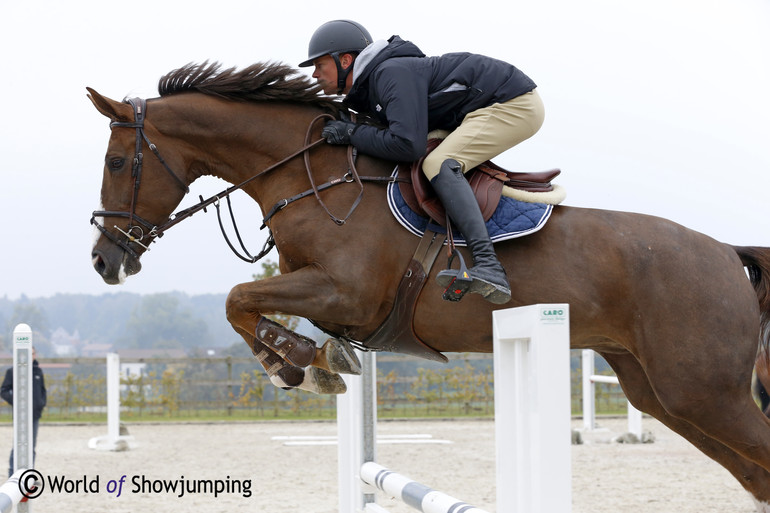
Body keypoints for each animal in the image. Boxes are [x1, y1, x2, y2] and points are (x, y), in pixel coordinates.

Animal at [87, 63, 768, 508]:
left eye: (118, 163)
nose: (102, 261)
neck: (316, 179)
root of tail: (725, 252)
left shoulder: (346, 293)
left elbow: (237, 299)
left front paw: (298, 363)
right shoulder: (317, 290)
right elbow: (247, 307)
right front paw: (315, 362)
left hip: (704, 392)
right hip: (662, 393)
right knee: (753, 472)